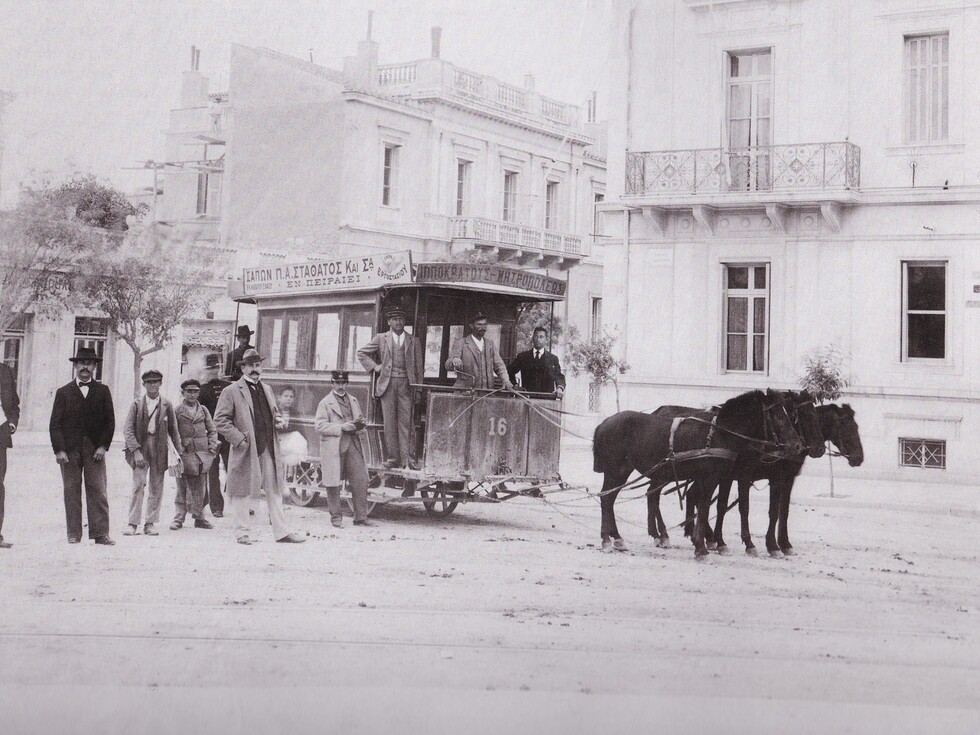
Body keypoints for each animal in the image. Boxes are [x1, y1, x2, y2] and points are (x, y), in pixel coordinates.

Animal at [592, 389, 804, 558]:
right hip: (615, 470)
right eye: (779, 415)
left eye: (792, 415)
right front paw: (702, 548)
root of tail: (605, 422)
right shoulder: (712, 478)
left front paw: (701, 543)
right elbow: (704, 510)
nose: (797, 445)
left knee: (611, 499)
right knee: (607, 499)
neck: (720, 433)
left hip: (623, 471)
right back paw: (607, 539)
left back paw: (618, 538)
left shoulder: (713, 478)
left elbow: (704, 508)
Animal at [711, 401, 864, 556]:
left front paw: (784, 544)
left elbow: (783, 511)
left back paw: (713, 539)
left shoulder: (788, 479)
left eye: (856, 427)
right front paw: (770, 545)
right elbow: (768, 511)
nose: (859, 458)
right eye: (845, 426)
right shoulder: (771, 478)